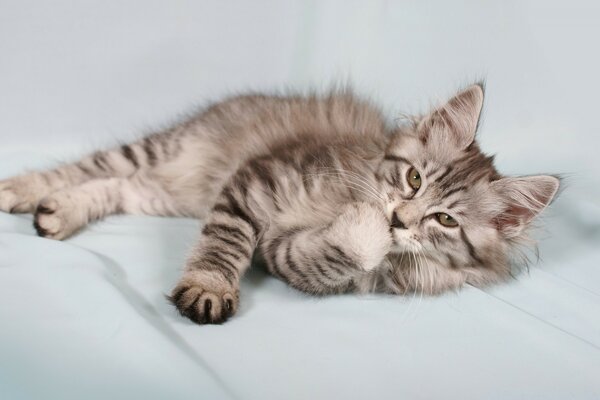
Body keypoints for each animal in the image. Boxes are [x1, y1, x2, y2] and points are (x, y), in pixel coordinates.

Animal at [0, 84, 556, 324]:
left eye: (444, 220)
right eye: (414, 178)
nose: (399, 216)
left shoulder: (288, 254)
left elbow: (336, 253)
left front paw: (367, 228)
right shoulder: (256, 181)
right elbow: (224, 244)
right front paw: (208, 288)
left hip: (169, 192)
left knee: (120, 185)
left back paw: (60, 211)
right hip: (168, 149)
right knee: (92, 167)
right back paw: (23, 190)